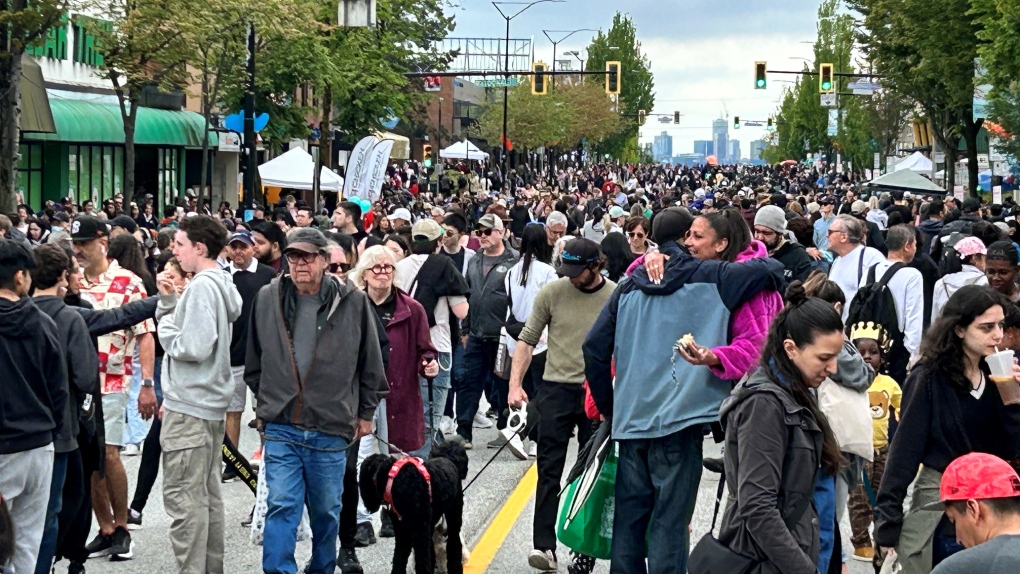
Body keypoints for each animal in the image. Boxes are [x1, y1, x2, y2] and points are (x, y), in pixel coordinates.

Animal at [361, 442, 467, 570]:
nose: (367, 505)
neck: (394, 479)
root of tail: (447, 459)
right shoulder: (403, 531)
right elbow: (399, 558)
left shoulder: (419, 531)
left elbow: (421, 559)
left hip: (453, 515)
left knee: (454, 543)